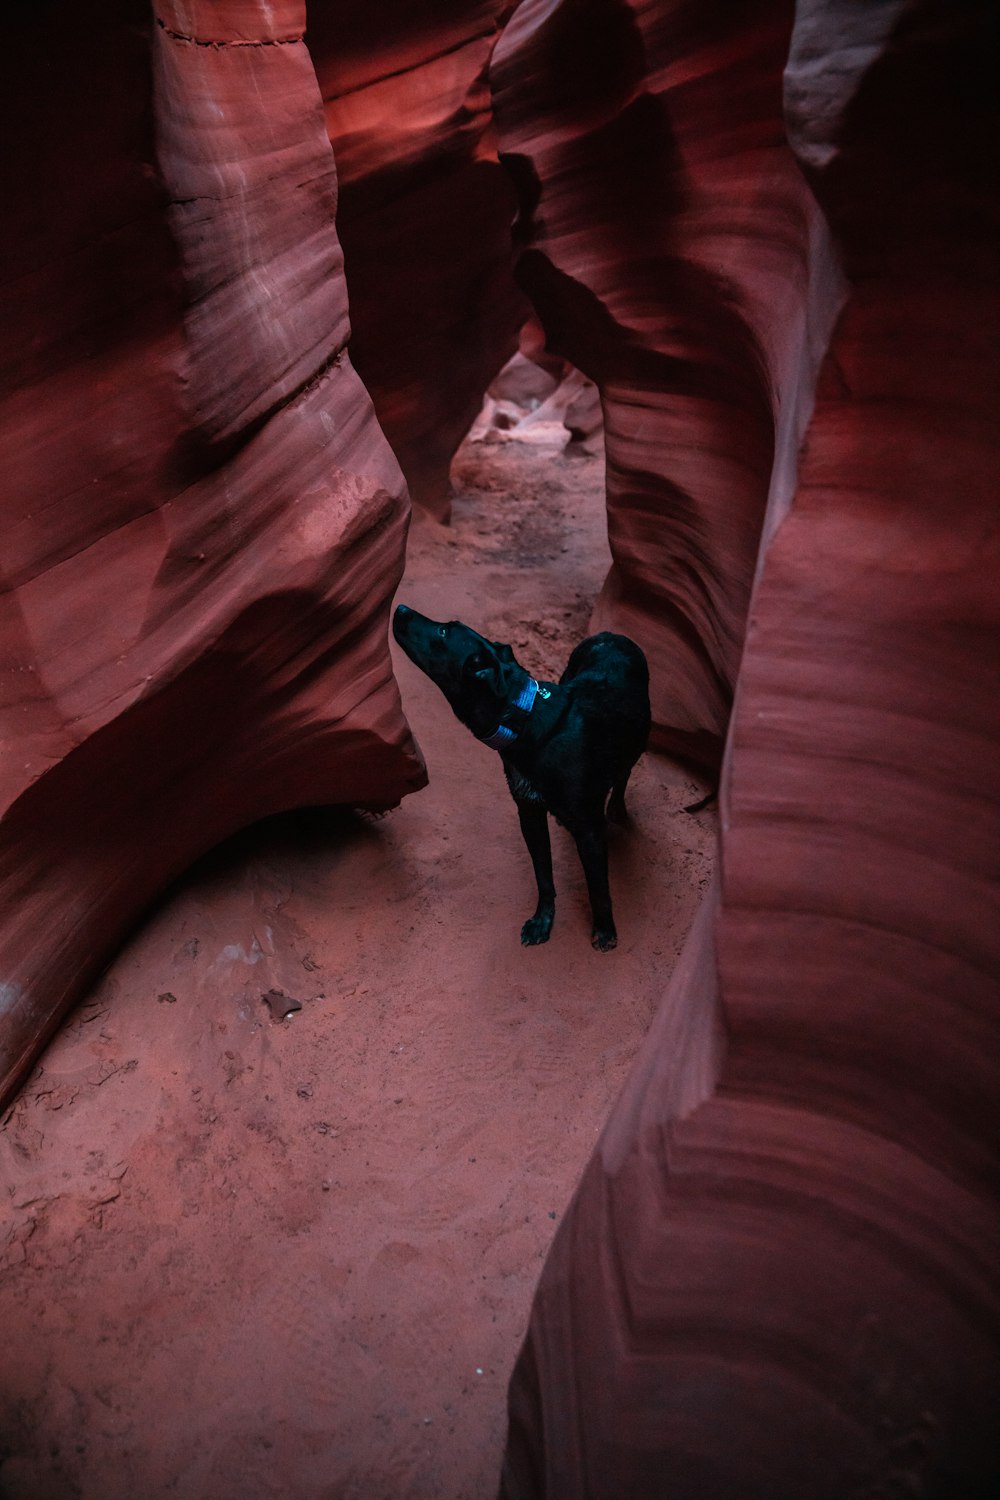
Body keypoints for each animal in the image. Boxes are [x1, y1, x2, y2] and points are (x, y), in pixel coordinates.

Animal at [395, 606, 653, 948]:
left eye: (444, 632)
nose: (400, 609)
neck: (524, 719)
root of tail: (611, 634)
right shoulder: (529, 812)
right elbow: (543, 876)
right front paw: (543, 921)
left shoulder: (590, 828)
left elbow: (598, 885)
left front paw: (604, 929)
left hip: (639, 738)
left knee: (623, 775)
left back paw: (618, 809)